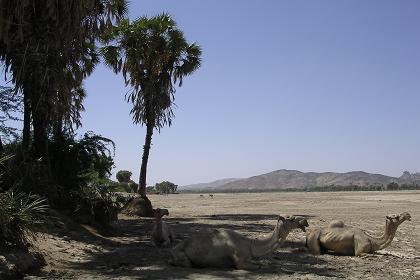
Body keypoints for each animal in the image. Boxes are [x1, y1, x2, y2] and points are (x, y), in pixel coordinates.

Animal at [168, 214, 308, 270]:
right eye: (291, 219)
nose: (305, 221)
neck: (250, 244)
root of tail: (172, 249)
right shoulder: (239, 261)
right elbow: (257, 266)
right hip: (181, 255)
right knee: (186, 264)